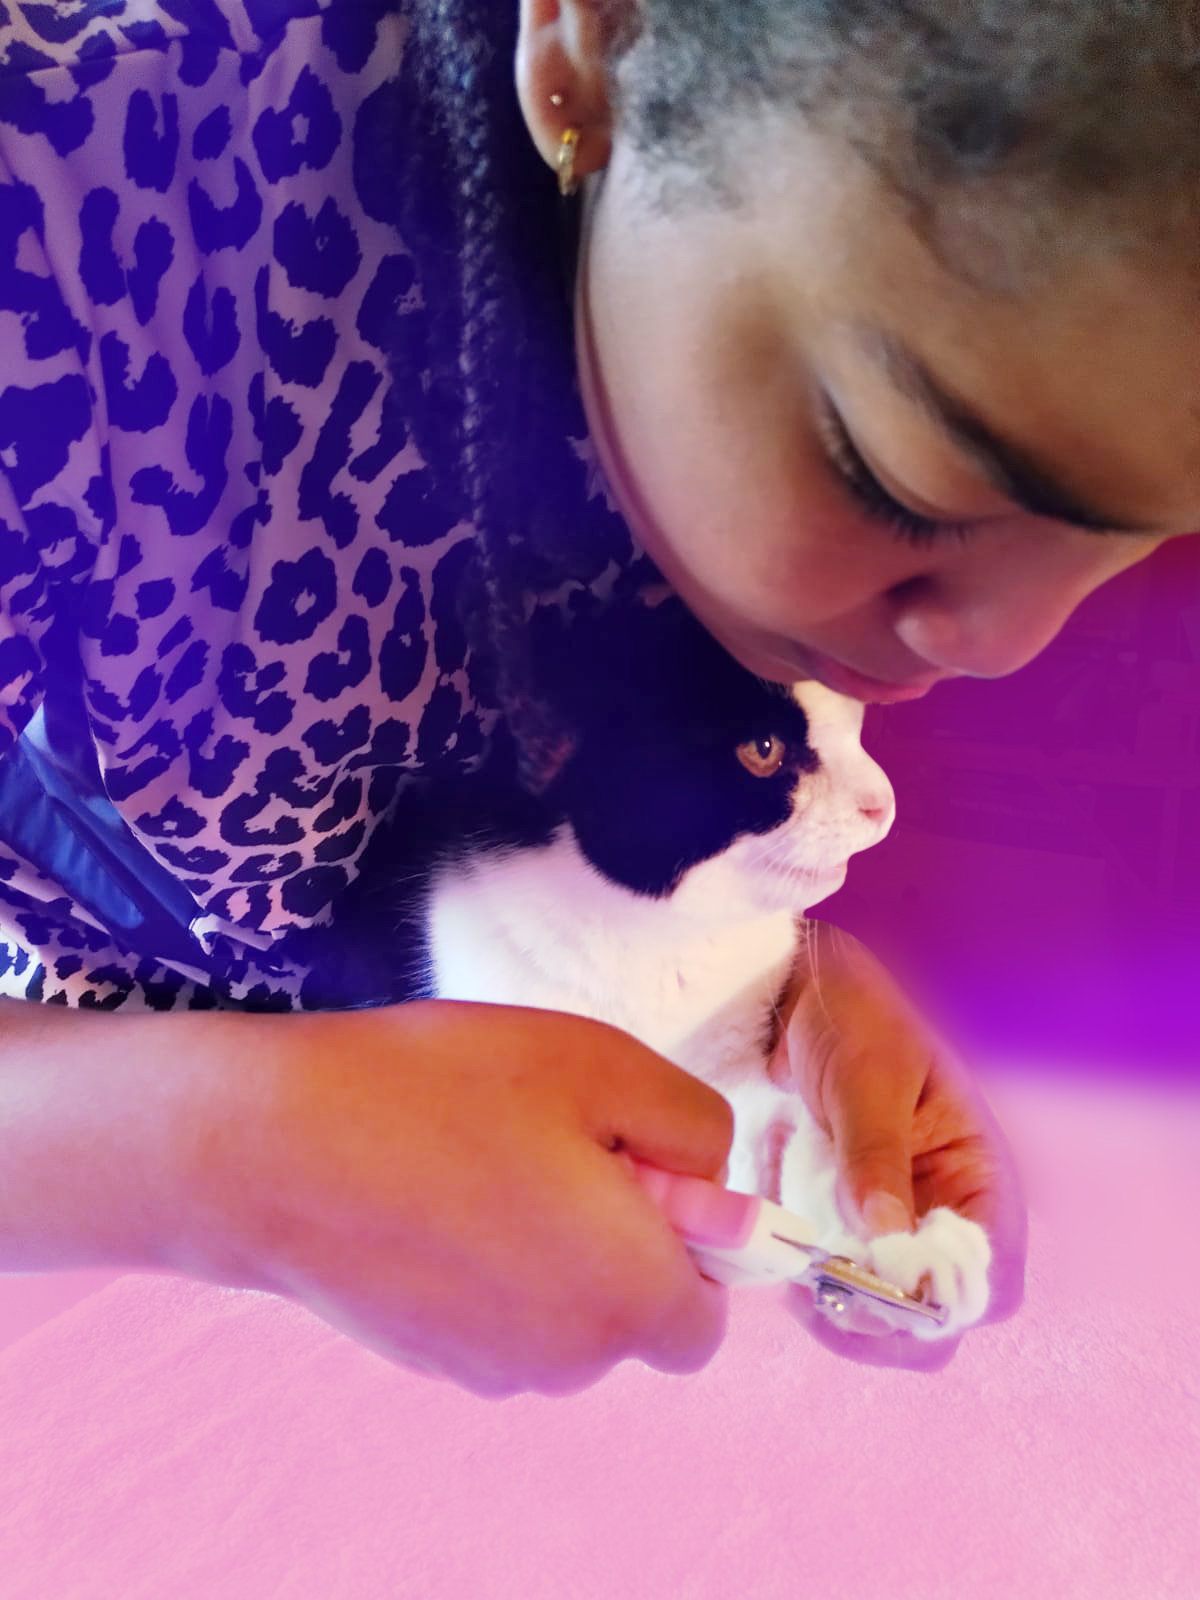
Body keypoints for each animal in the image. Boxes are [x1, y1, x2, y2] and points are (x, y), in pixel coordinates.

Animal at [297, 595, 991, 1339]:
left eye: (855, 727)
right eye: (764, 750)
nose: (882, 803)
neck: (655, 940)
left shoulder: (734, 1062)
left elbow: (794, 1129)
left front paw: (894, 1244)